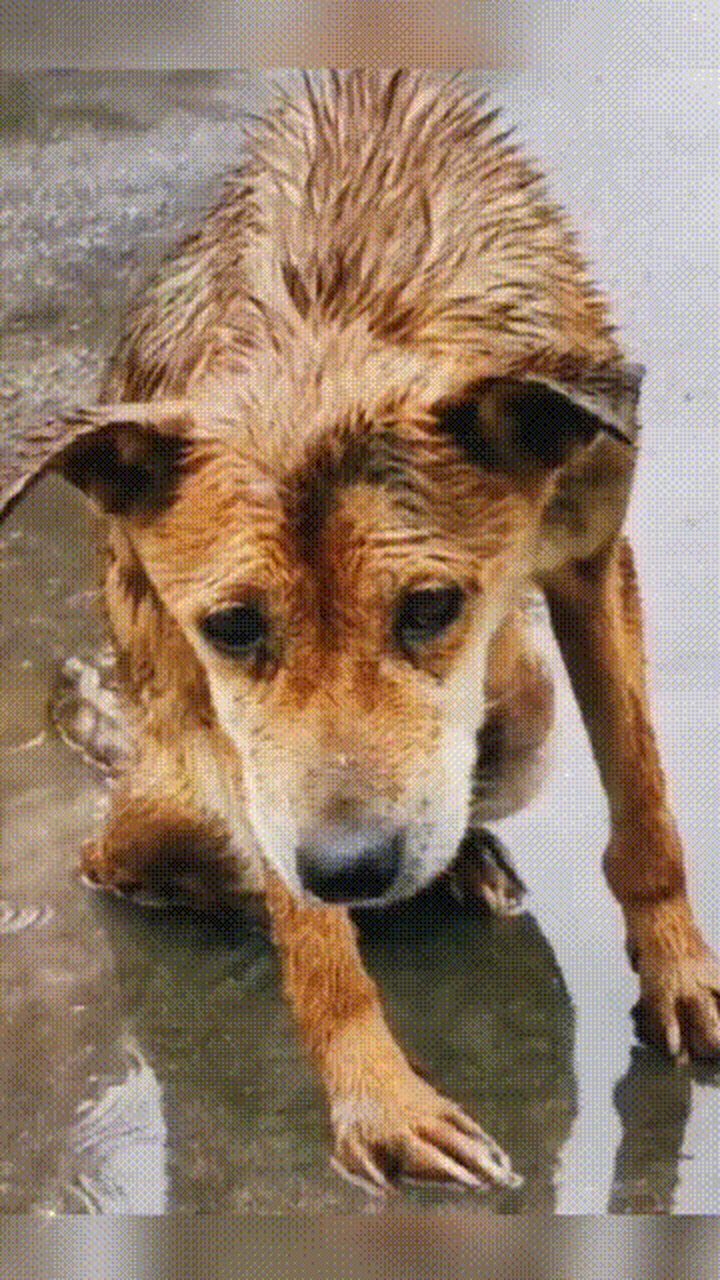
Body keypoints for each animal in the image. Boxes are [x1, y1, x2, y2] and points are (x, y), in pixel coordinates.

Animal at [2, 70, 712, 1187]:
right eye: (232, 627)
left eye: (431, 607)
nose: (347, 869)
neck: (343, 302)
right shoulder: (228, 712)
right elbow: (312, 937)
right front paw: (378, 1097)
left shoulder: (594, 558)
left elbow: (643, 803)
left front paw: (682, 972)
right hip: (172, 790)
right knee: (125, 858)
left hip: (521, 706)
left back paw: (457, 862)